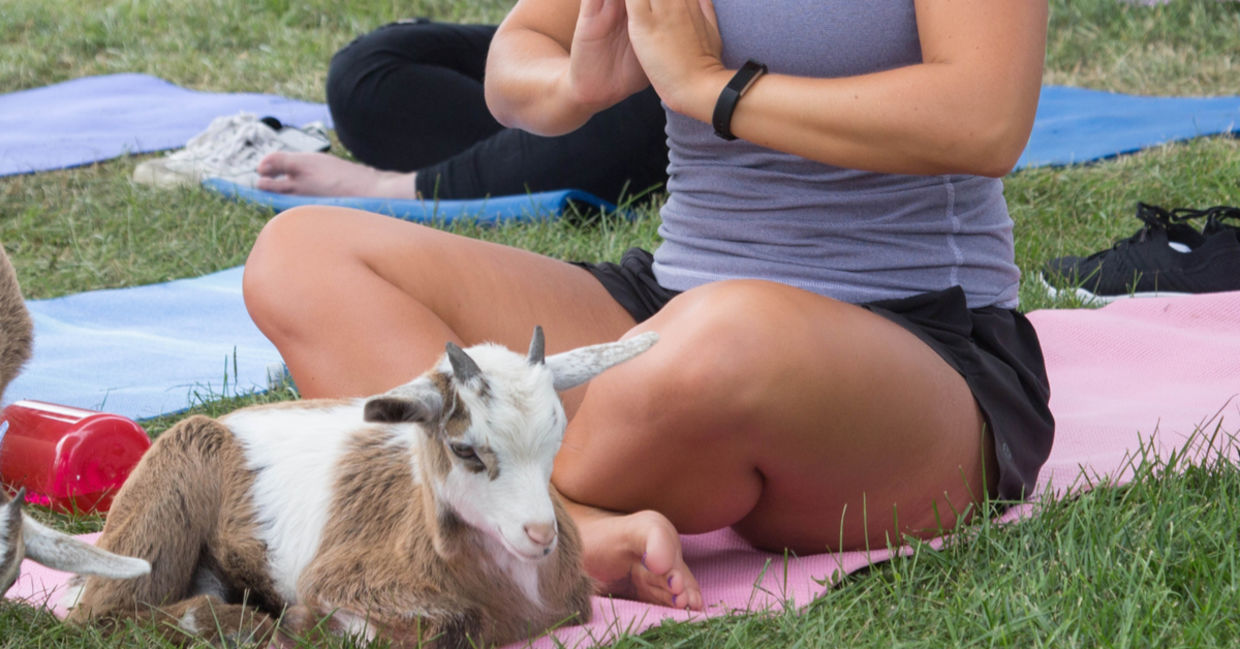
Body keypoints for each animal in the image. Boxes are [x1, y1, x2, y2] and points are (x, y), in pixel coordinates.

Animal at [40, 327, 655, 648]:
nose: (539, 534)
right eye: (465, 449)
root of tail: (228, 421)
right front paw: (303, 624)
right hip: (155, 520)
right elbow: (439, 626)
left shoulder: (568, 607)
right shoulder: (345, 581)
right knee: (102, 618)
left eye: (557, 438)